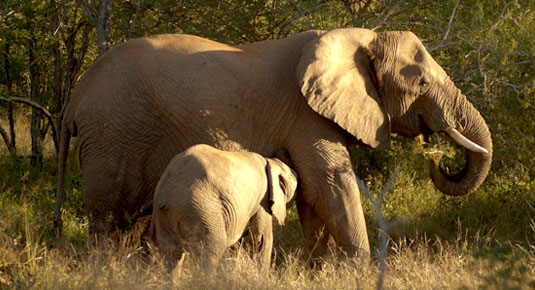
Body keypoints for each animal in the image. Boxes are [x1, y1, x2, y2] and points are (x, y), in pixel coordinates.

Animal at [150, 144, 298, 270]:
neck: (271, 162)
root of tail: (165, 193)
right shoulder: (263, 198)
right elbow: (261, 239)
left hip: (165, 216)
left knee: (172, 255)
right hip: (200, 209)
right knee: (211, 250)